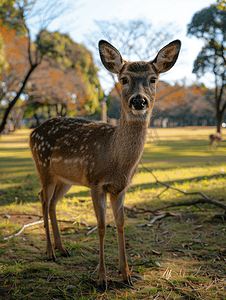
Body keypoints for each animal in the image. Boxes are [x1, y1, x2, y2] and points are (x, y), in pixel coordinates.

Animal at [29, 38, 181, 290]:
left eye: (153, 79)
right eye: (124, 79)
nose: (138, 101)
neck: (115, 160)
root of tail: (32, 133)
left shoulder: (120, 188)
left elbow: (120, 223)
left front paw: (126, 274)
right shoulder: (95, 182)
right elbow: (101, 227)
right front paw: (102, 279)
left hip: (65, 179)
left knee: (51, 202)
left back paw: (63, 249)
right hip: (43, 167)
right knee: (42, 198)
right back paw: (50, 252)